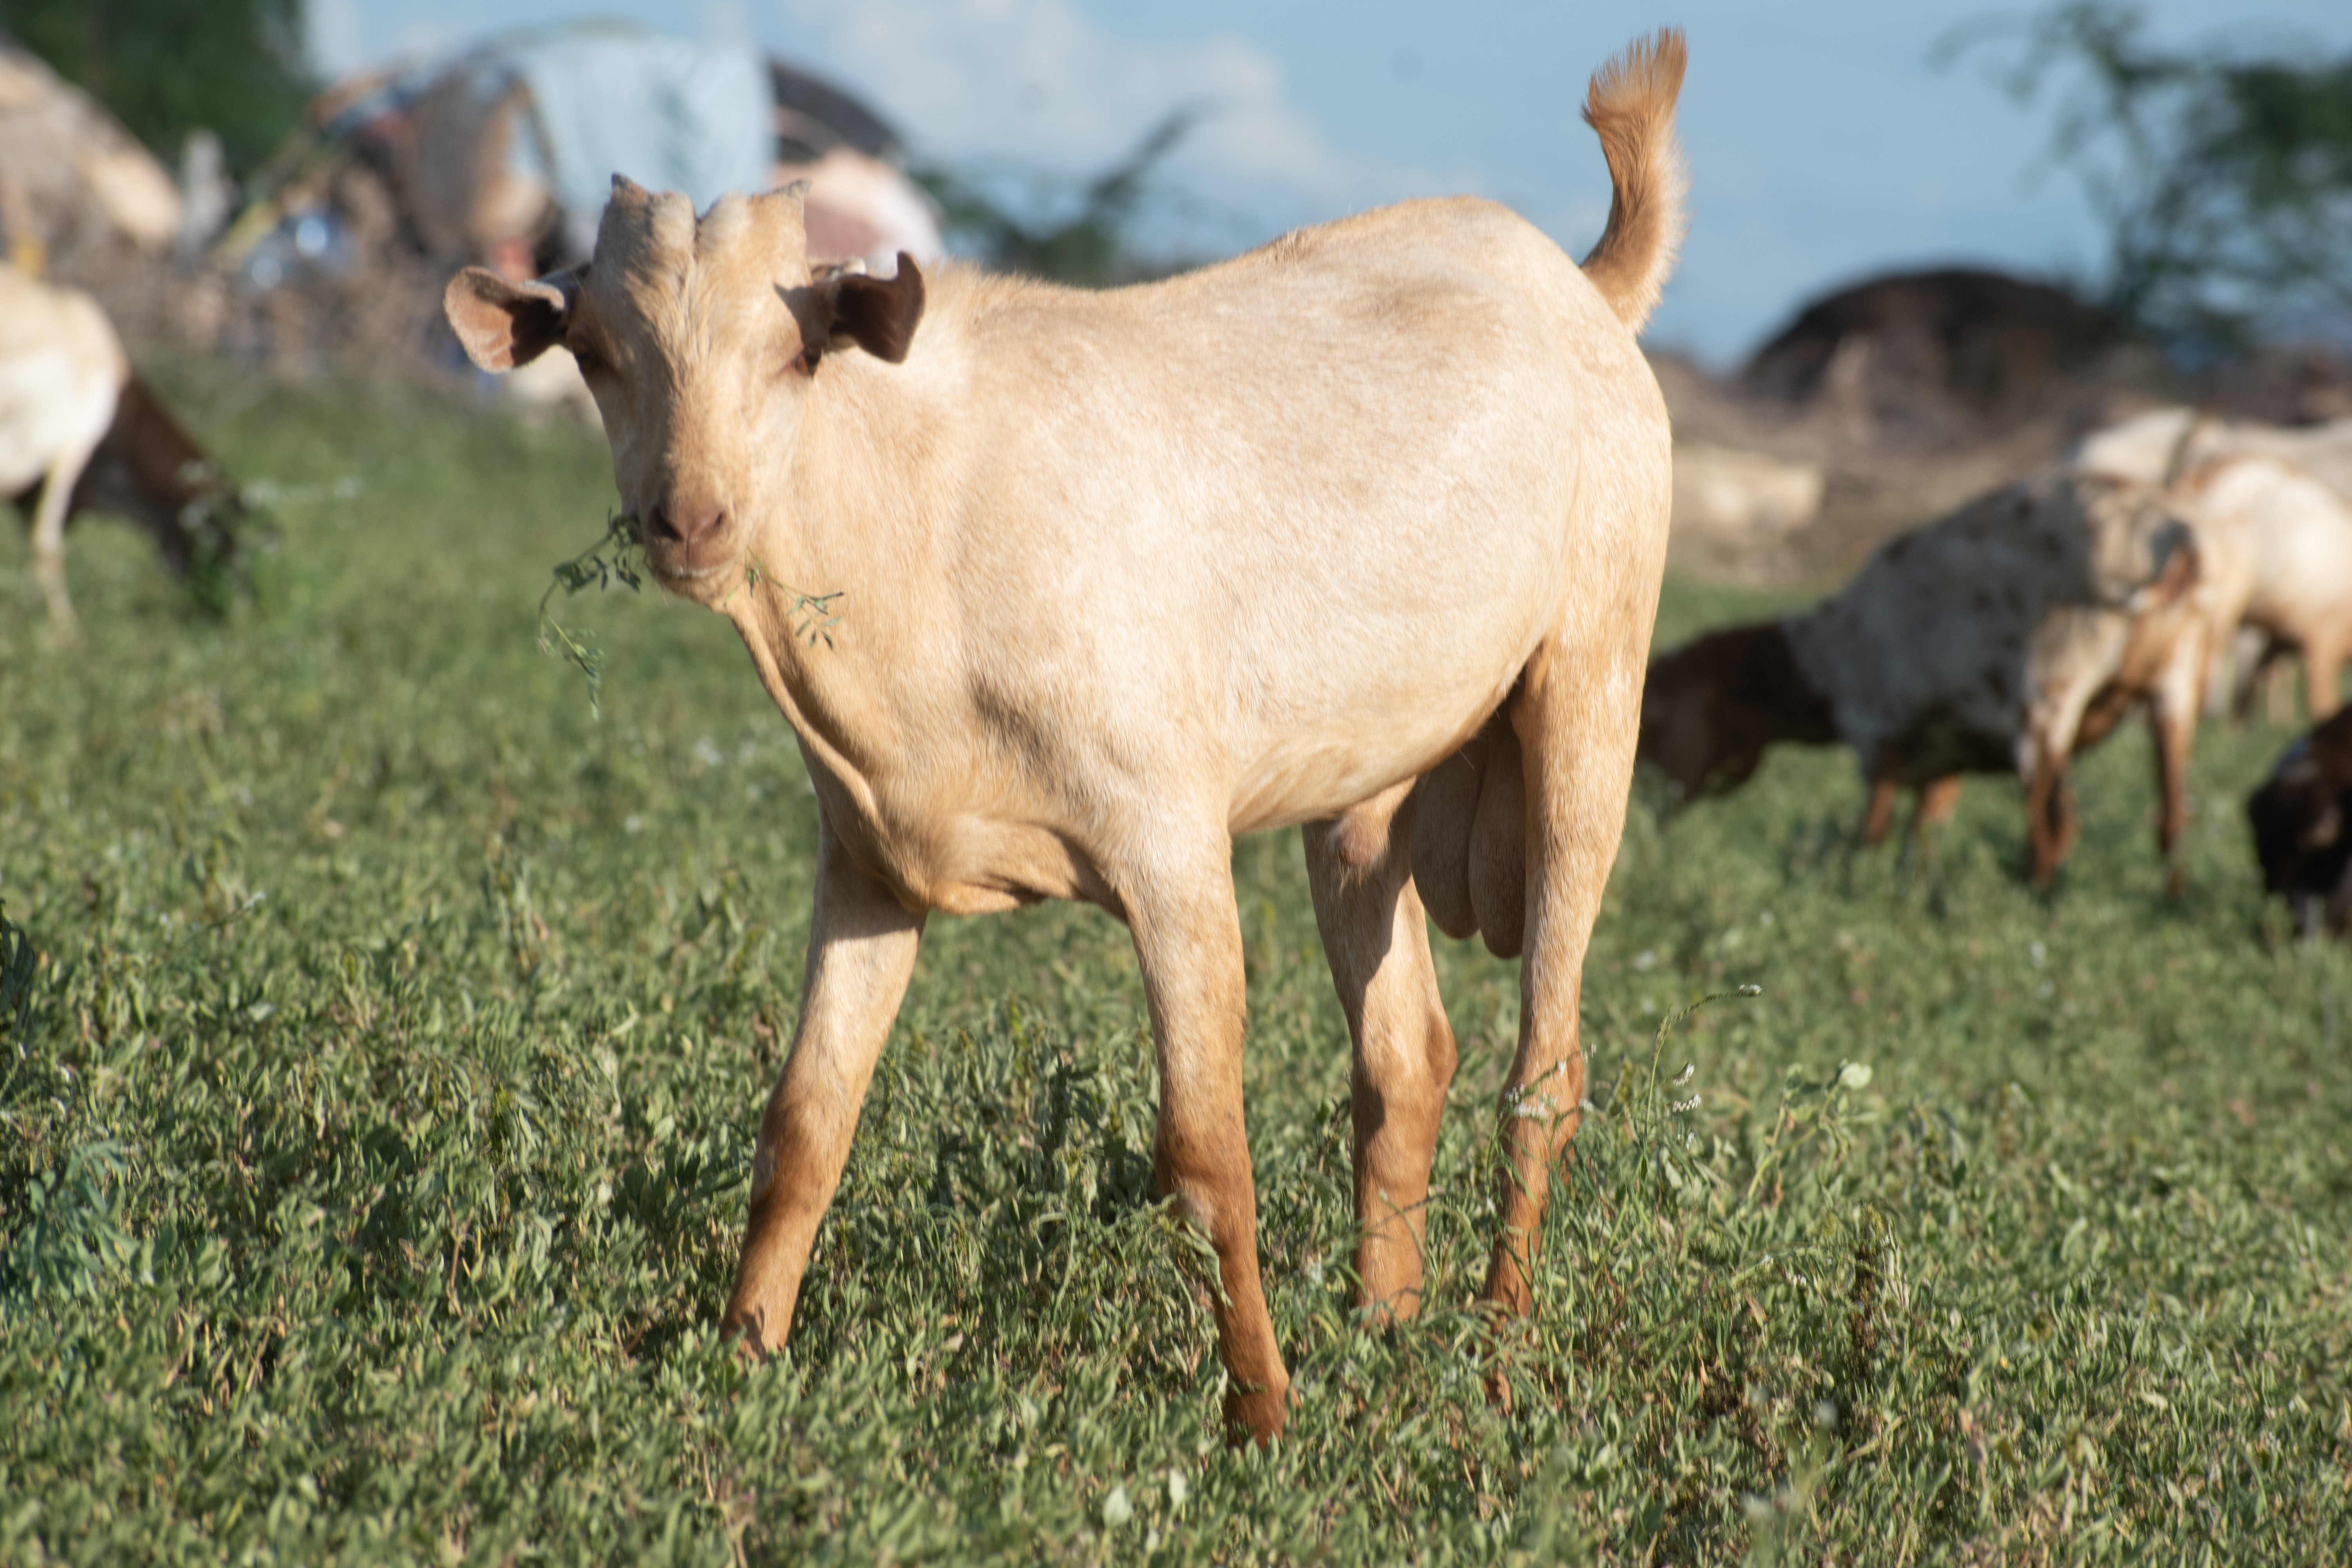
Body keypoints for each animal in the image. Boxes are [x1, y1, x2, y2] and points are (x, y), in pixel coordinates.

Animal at [446, 31, 1689, 1442]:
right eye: (597, 350)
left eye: (796, 351)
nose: (689, 522)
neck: (923, 520)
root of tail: (1582, 286)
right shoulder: (867, 858)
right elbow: (805, 1122)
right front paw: (739, 1363)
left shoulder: (1171, 842)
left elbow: (1204, 1151)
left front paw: (1262, 1418)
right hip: (1367, 782)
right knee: (1406, 1050)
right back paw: (1388, 1324)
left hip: (1595, 675)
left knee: (1548, 1065)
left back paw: (1496, 1358)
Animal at [1640, 471, 2207, 891]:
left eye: (1654, 721)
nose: (1652, 814)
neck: (1820, 658)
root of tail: (2172, 535)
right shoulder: (1944, 752)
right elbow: (1920, 830)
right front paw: (1908, 886)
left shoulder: (1879, 729)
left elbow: (1873, 829)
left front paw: (1856, 887)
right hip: (2175, 687)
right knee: (2172, 820)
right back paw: (2169, 903)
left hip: (2048, 694)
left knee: (2053, 824)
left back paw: (2035, 902)